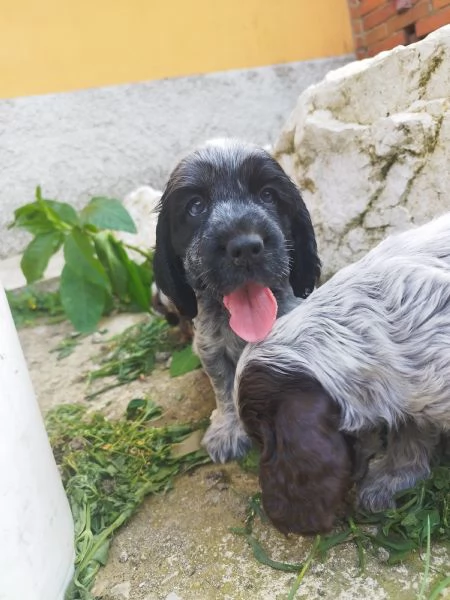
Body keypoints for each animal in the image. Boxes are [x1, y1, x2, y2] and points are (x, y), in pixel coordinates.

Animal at [154, 138, 320, 462]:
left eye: (268, 195)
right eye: (195, 206)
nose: (245, 247)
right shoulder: (210, 348)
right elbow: (224, 388)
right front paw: (228, 431)